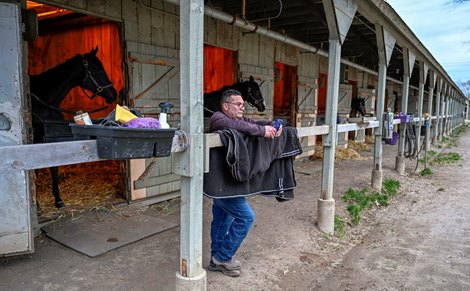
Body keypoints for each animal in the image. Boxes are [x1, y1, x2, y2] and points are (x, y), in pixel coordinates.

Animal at [29, 46, 117, 209]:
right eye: (98, 69)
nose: (113, 95)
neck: (43, 100)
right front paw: (36, 202)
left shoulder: (51, 136)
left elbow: (54, 166)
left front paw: (58, 199)